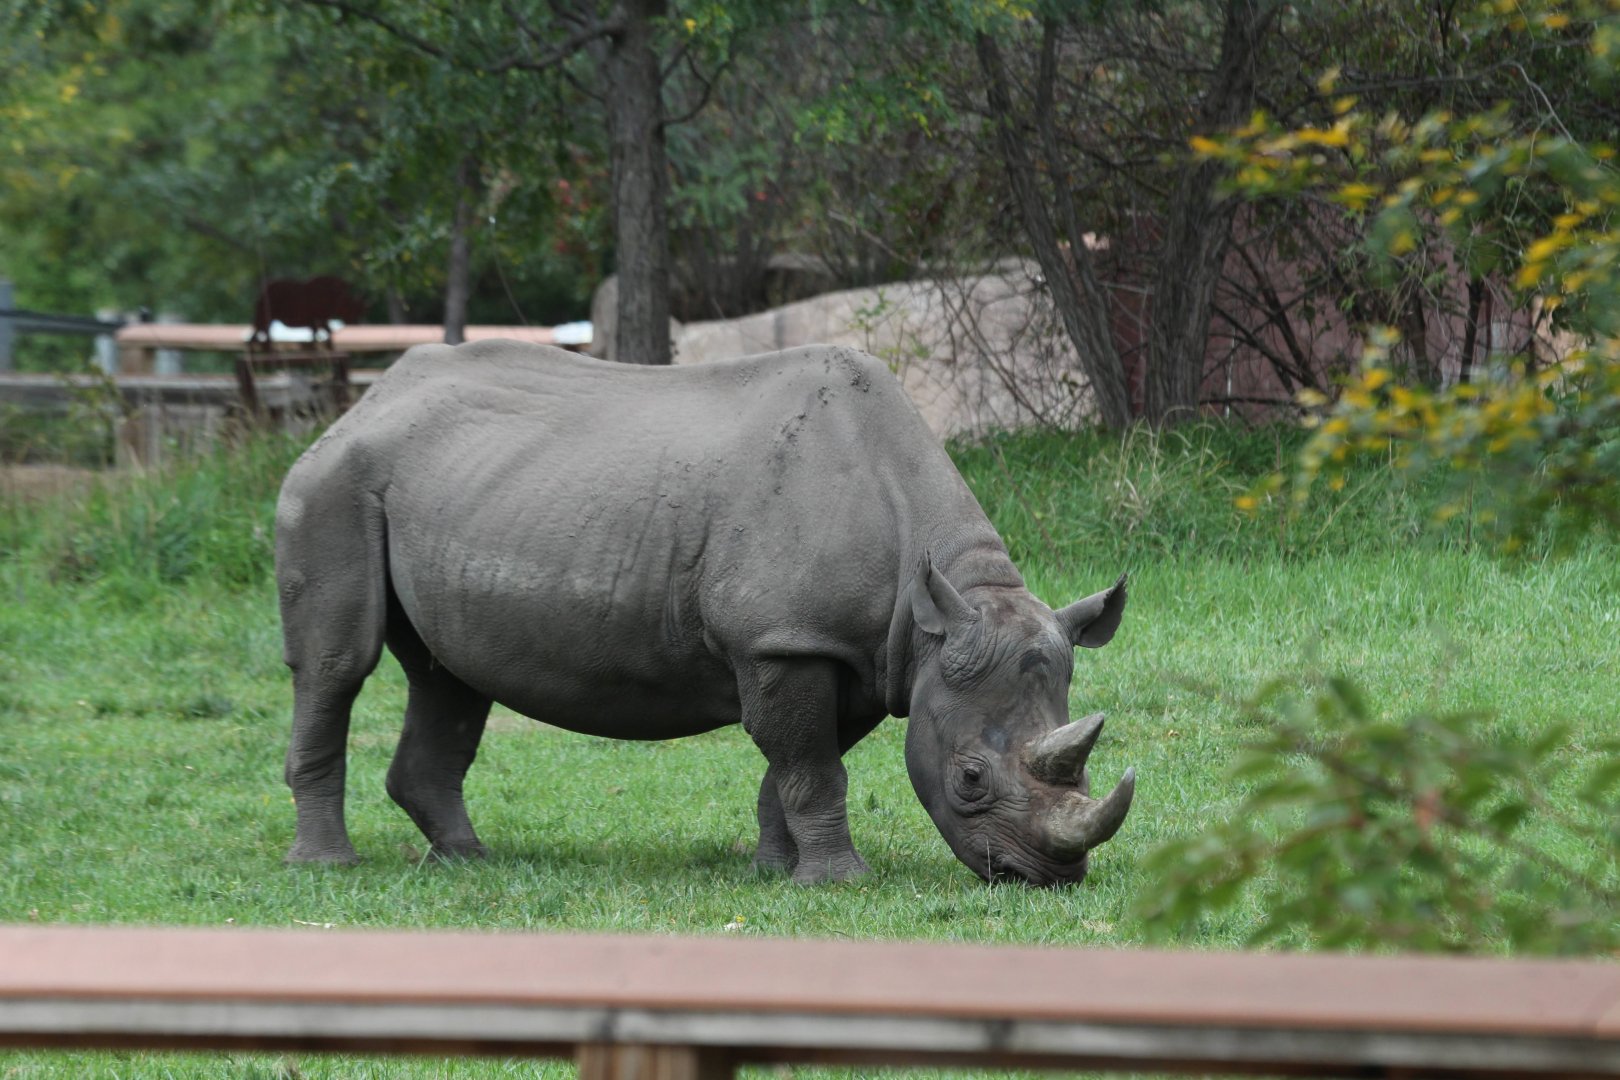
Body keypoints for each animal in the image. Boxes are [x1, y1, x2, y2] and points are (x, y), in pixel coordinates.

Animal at [275, 342, 1135, 885]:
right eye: (970, 779)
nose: (1045, 876)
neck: (936, 608)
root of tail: (363, 404)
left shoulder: (865, 654)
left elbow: (801, 764)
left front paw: (774, 871)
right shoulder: (785, 641)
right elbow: (813, 767)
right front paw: (839, 883)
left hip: (431, 484)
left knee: (446, 676)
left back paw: (467, 861)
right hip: (336, 484)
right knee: (337, 666)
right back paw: (328, 867)